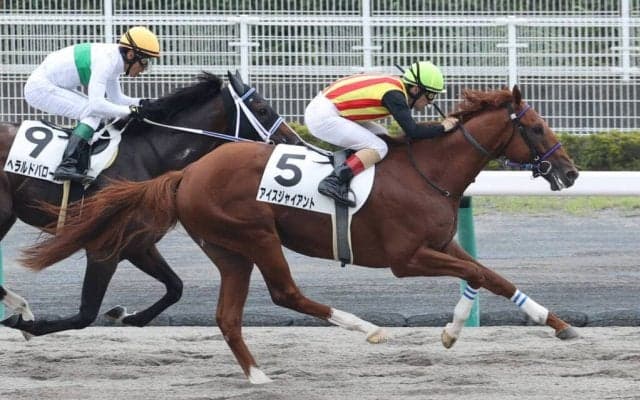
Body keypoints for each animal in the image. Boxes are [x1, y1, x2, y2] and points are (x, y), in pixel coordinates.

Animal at [0, 71, 302, 336]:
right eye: (262, 109)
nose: (295, 141)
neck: (148, 157)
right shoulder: (103, 248)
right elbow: (85, 315)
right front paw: (26, 325)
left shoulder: (138, 244)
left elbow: (175, 287)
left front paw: (128, 316)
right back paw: (20, 308)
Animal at [20, 85, 580, 383]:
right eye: (535, 127)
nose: (571, 172)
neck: (428, 171)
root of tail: (187, 173)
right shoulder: (408, 257)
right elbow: (480, 274)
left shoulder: (441, 243)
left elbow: (486, 276)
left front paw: (542, 324)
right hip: (256, 235)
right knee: (285, 293)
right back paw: (365, 328)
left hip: (228, 249)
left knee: (229, 317)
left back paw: (257, 375)